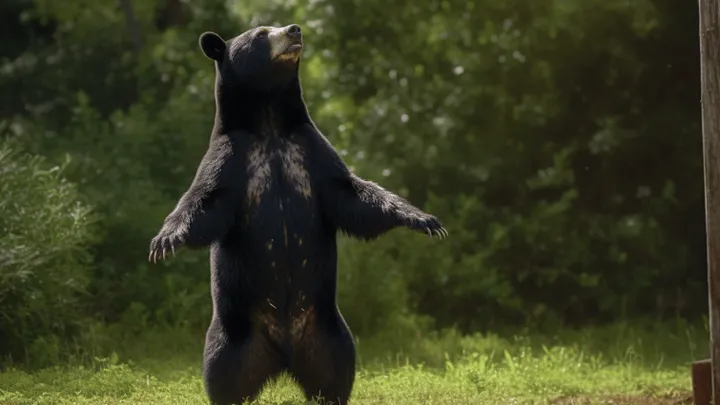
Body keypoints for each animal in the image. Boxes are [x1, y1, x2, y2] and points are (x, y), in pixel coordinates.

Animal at [148, 23, 447, 405]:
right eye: (261, 33)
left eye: (279, 24)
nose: (294, 29)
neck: (269, 120)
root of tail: (284, 357)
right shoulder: (230, 159)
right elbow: (204, 203)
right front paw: (165, 240)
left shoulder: (310, 150)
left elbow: (353, 195)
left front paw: (425, 220)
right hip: (234, 334)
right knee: (222, 374)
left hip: (329, 333)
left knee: (336, 375)